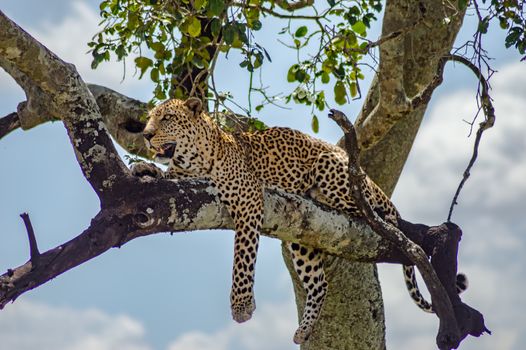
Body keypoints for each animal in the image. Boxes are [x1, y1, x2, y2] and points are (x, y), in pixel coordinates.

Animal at [132, 97, 470, 344]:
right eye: (150, 119)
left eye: (166, 118)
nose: (146, 135)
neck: (194, 160)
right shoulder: (182, 175)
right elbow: (165, 174)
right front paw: (144, 169)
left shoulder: (249, 200)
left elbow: (242, 257)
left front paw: (241, 306)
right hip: (301, 238)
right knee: (319, 283)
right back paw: (305, 330)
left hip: (334, 175)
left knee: (374, 210)